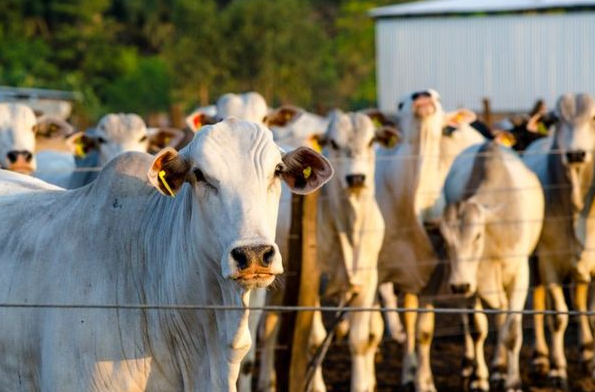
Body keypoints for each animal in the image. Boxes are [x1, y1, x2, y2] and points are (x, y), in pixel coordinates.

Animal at [378, 89, 484, 392]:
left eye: (436, 96)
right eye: (400, 102)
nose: (423, 95)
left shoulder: (434, 273)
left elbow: (425, 331)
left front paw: (425, 382)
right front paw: (410, 374)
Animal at [442, 142, 544, 392]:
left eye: (477, 235)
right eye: (445, 240)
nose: (458, 285)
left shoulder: (520, 277)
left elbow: (512, 333)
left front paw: (513, 382)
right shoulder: (472, 283)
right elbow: (478, 329)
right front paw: (479, 379)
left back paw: (501, 369)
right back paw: (490, 368)